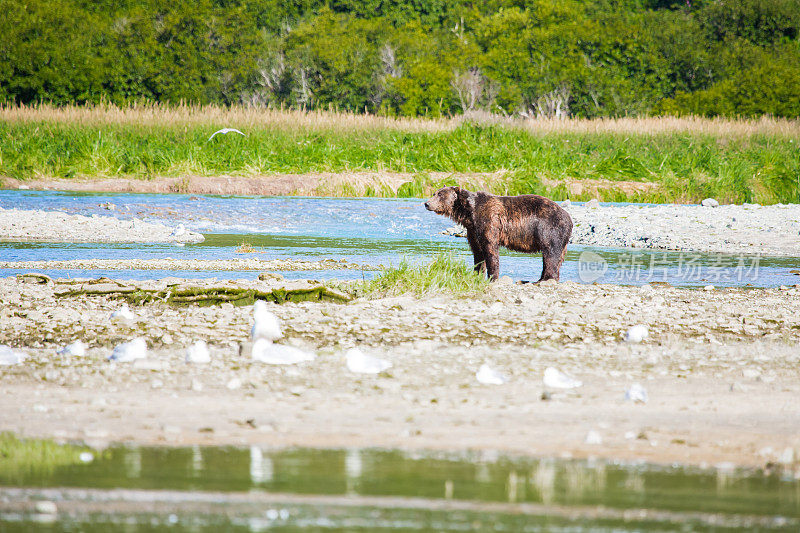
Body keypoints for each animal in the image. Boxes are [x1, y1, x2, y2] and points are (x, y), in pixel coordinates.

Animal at [422, 185, 572, 280]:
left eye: (440, 195)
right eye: (434, 193)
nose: (426, 203)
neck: (469, 213)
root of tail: (568, 217)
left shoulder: (489, 222)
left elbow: (490, 249)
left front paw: (492, 276)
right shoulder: (472, 230)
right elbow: (477, 251)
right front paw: (476, 274)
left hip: (550, 228)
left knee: (550, 253)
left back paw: (545, 279)